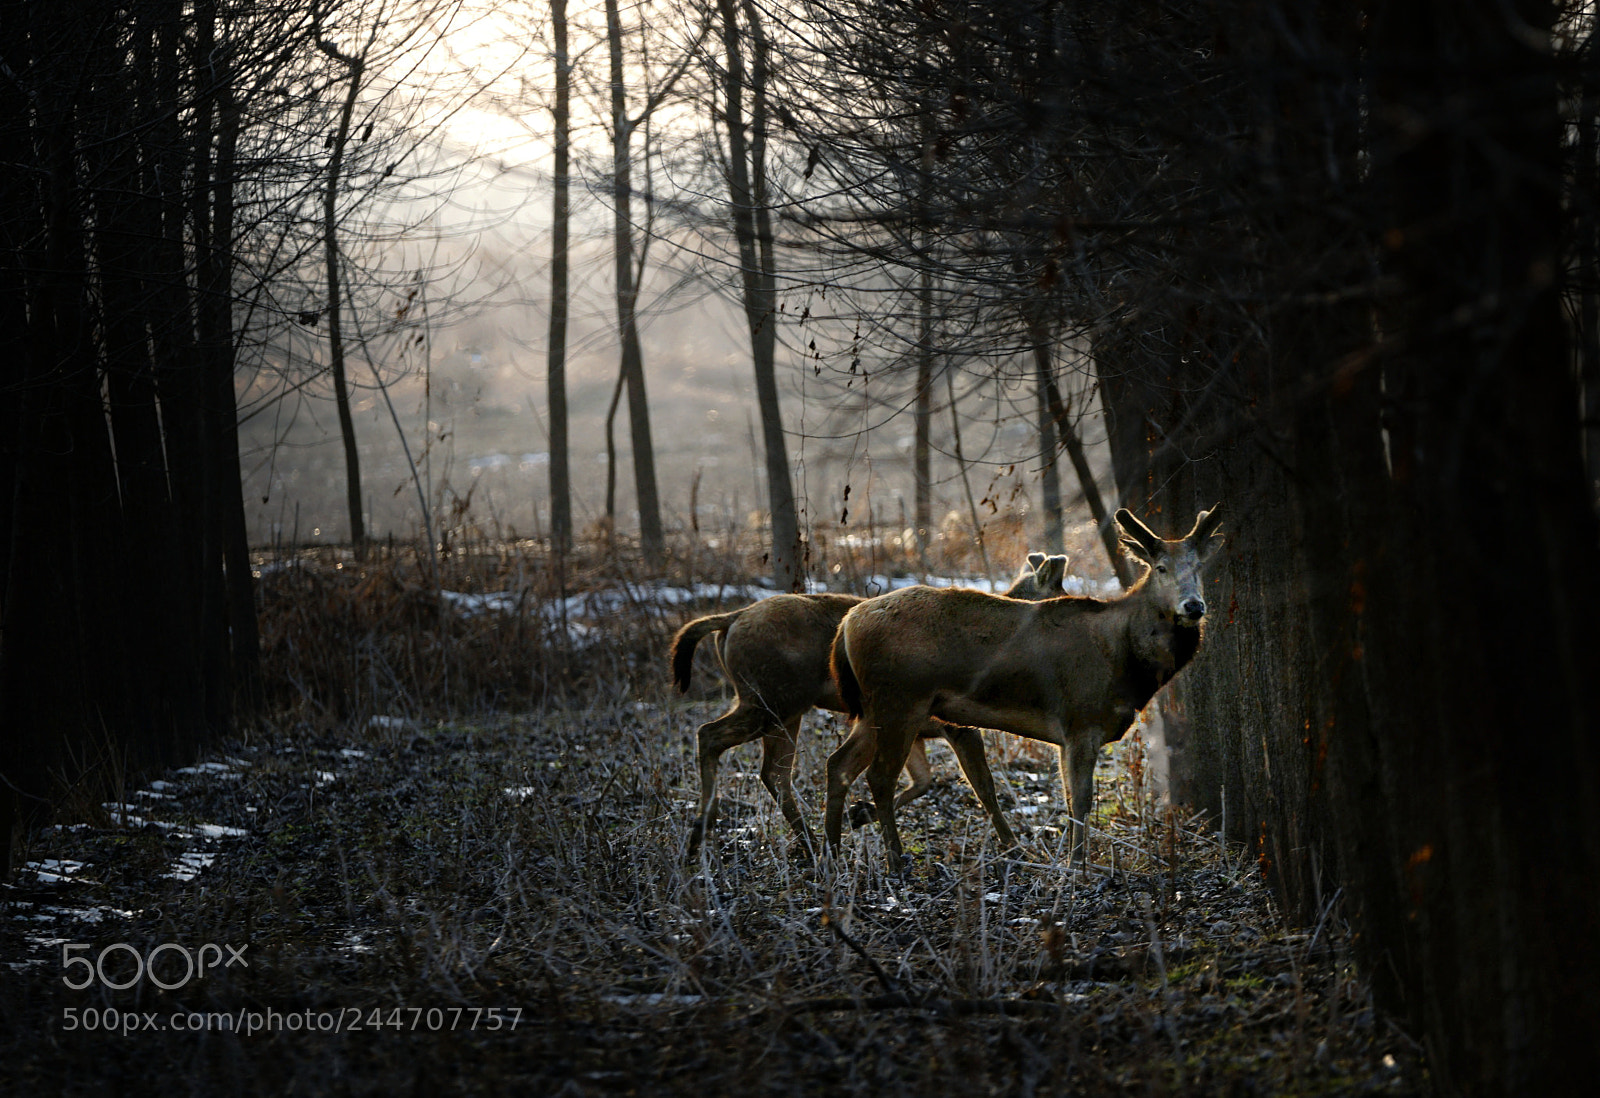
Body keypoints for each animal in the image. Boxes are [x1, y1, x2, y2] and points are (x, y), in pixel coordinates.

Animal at [670, 553, 1069, 857]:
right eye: (1059, 590)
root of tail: (731, 619)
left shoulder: (916, 728)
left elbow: (924, 780)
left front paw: (859, 814)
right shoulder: (956, 727)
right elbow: (983, 786)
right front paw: (1015, 846)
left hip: (782, 708)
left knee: (774, 771)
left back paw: (804, 842)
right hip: (771, 699)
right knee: (712, 735)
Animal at [824, 506, 1225, 870]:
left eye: (1199, 568)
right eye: (1160, 568)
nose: (1193, 606)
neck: (1123, 658)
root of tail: (847, 624)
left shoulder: (1068, 734)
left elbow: (1068, 798)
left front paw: (1071, 860)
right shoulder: (1082, 719)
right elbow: (1081, 800)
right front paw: (1078, 867)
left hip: (875, 709)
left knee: (838, 763)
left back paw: (831, 852)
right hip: (899, 700)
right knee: (879, 776)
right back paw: (894, 860)